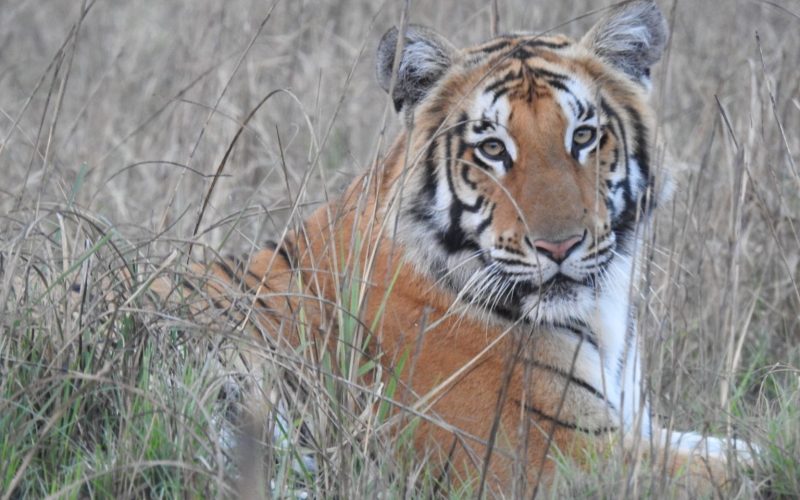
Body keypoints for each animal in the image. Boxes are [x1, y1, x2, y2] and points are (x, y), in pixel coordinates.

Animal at [159, 0, 757, 494]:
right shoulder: (545, 455)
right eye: (492, 148)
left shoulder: (631, 425)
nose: (559, 246)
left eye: (583, 137)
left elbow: (737, 444)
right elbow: (737, 469)